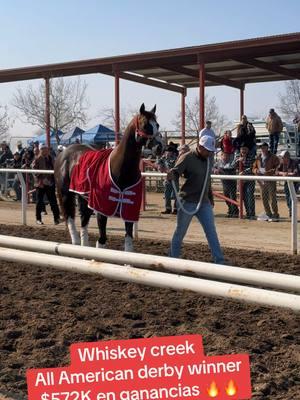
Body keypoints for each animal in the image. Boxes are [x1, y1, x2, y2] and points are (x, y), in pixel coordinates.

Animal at [54, 104, 161, 252]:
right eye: (145, 125)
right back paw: (74, 242)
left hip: (84, 198)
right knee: (70, 219)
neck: (120, 169)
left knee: (84, 222)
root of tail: (64, 151)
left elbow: (128, 244)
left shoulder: (129, 210)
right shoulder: (101, 209)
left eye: (157, 124)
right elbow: (102, 241)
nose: (159, 147)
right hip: (65, 195)